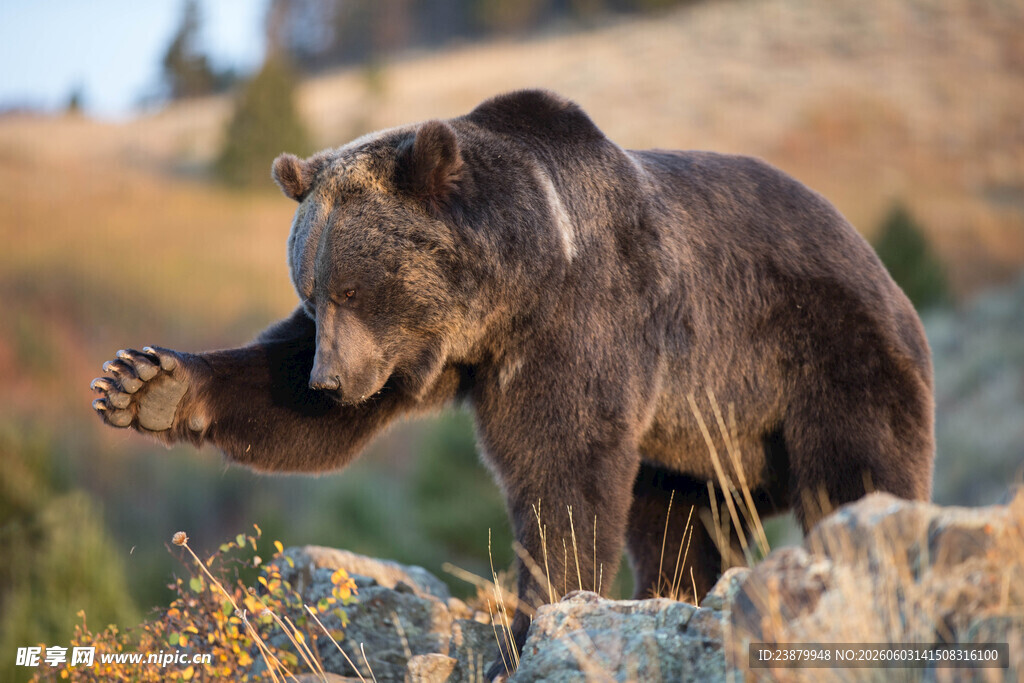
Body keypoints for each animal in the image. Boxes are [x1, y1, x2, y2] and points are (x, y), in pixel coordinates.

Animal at [91, 89, 934, 678]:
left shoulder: (581, 323)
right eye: (312, 290)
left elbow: (562, 470)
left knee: (859, 474)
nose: (330, 379)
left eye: (354, 287)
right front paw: (142, 383)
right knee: (677, 522)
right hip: (697, 440)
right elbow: (290, 407)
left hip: (821, 359)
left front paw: (528, 629)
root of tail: (883, 270)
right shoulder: (433, 355)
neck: (511, 289)